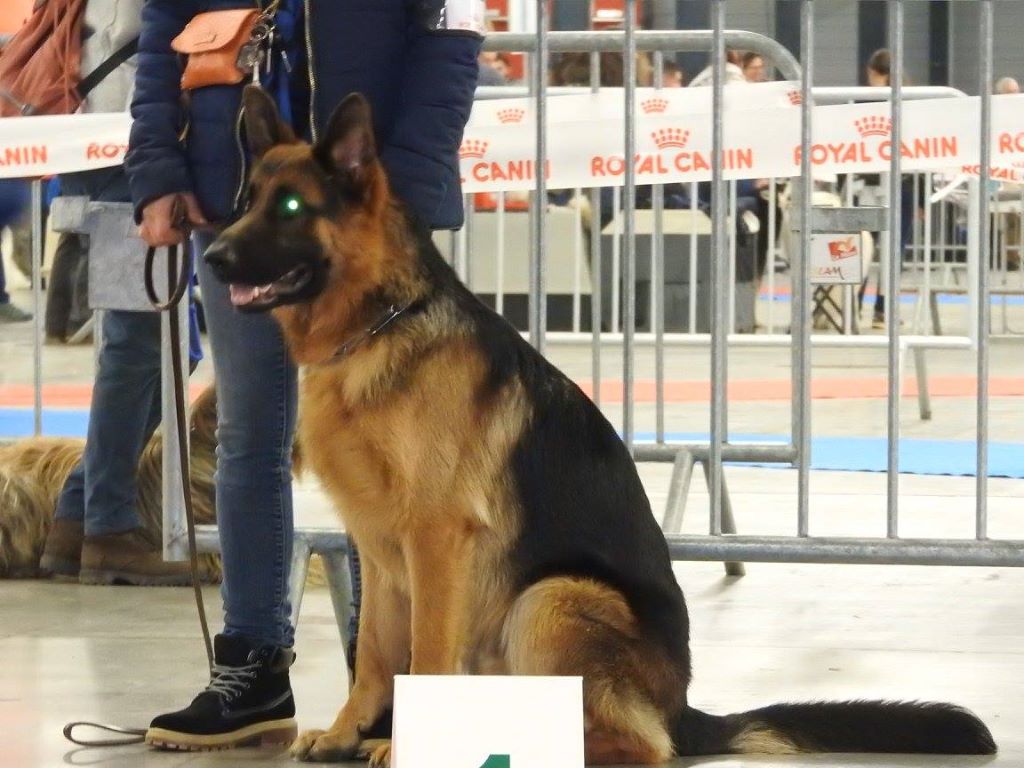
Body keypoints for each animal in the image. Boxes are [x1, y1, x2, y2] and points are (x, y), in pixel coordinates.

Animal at [203, 82, 995, 765]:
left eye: (292, 206)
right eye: (245, 202)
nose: (209, 258)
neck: (379, 326)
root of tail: (684, 708)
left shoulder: (436, 541)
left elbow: (422, 655)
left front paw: (403, 744)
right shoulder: (373, 543)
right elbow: (373, 653)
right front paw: (346, 732)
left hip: (550, 597)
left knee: (642, 745)